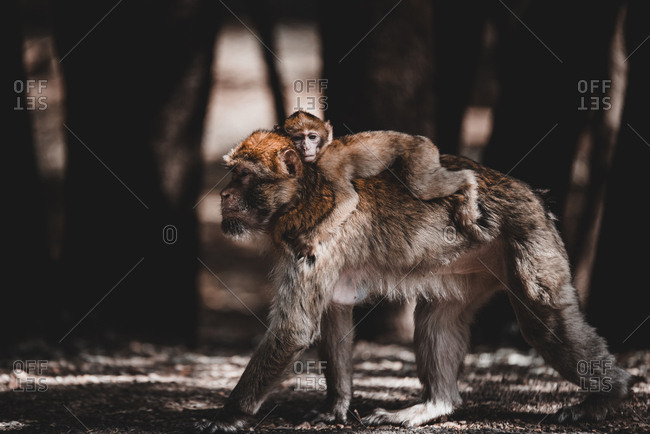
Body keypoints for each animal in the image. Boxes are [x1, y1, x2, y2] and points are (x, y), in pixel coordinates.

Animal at [201, 129, 634, 432]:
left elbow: (293, 330)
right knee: (436, 320)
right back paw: (434, 405)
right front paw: (336, 405)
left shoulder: (312, 238)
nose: (223, 195)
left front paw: (230, 412)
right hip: (468, 269)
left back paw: (608, 395)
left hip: (527, 234)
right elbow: (334, 312)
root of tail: (532, 194)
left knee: (543, 321)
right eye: (232, 173)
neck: (301, 194)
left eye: (243, 175)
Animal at [275, 111, 481, 259]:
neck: (323, 151)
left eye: (312, 137)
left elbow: (349, 199)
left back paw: (469, 182)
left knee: (421, 186)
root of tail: (423, 140)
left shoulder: (329, 166)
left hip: (421, 154)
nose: (305, 148)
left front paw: (309, 240)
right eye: (298, 138)